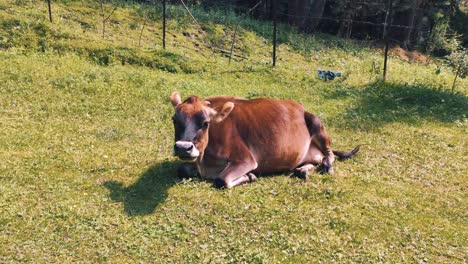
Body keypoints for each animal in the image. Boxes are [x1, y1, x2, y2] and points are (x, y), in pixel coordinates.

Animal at [170, 92, 360, 189]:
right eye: (174, 119)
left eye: (205, 123)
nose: (183, 147)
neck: (206, 161)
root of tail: (301, 107)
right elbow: (181, 169)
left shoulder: (245, 158)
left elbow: (221, 180)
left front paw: (250, 176)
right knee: (315, 159)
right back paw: (302, 170)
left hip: (316, 121)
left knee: (328, 154)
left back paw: (327, 167)